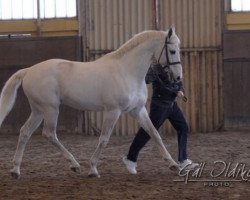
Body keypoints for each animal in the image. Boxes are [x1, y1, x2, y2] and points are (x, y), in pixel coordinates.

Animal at [0, 27, 182, 178]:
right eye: (172, 51)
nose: (178, 78)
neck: (127, 71)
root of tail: (29, 70)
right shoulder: (113, 111)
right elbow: (104, 139)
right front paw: (93, 169)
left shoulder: (138, 110)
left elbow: (154, 134)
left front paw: (174, 165)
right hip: (50, 109)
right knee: (49, 134)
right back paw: (75, 165)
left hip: (38, 110)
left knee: (25, 132)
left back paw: (16, 170)